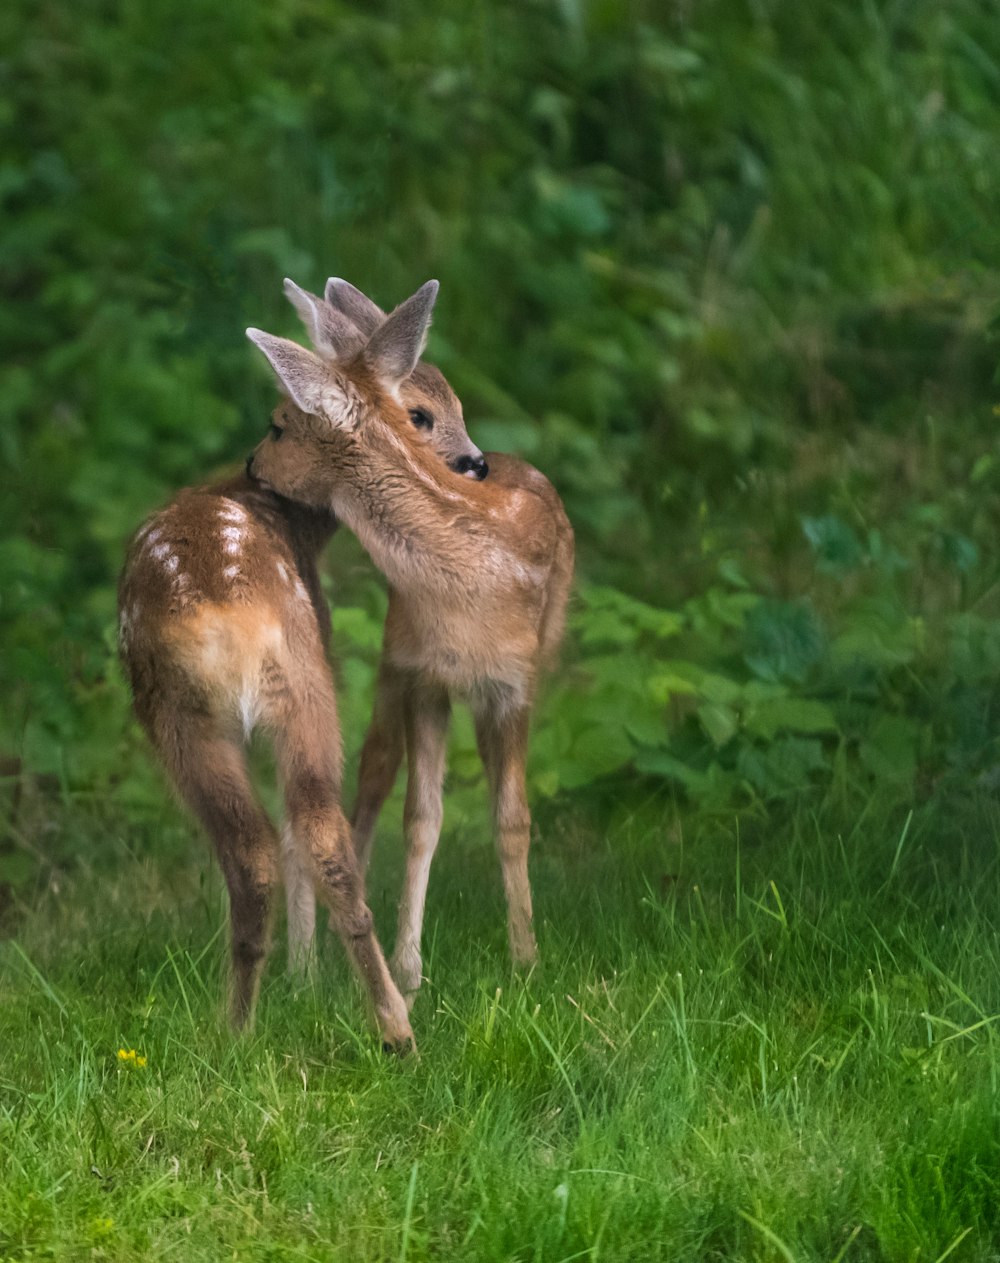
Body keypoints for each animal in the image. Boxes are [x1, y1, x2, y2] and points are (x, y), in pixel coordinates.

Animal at [117, 279, 487, 1045]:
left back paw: (244, 1025)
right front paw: (306, 977)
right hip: (297, 687)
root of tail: (225, 613)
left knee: (263, 844)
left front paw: (302, 976)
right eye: (423, 412)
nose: (476, 464)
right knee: (309, 833)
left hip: (195, 711)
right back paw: (390, 1026)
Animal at [243, 274, 570, 1005]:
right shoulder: (424, 675)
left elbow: (513, 819)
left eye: (279, 423)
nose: (249, 467)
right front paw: (408, 967)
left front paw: (527, 958)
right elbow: (421, 819)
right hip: (393, 666)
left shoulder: (517, 683)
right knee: (371, 778)